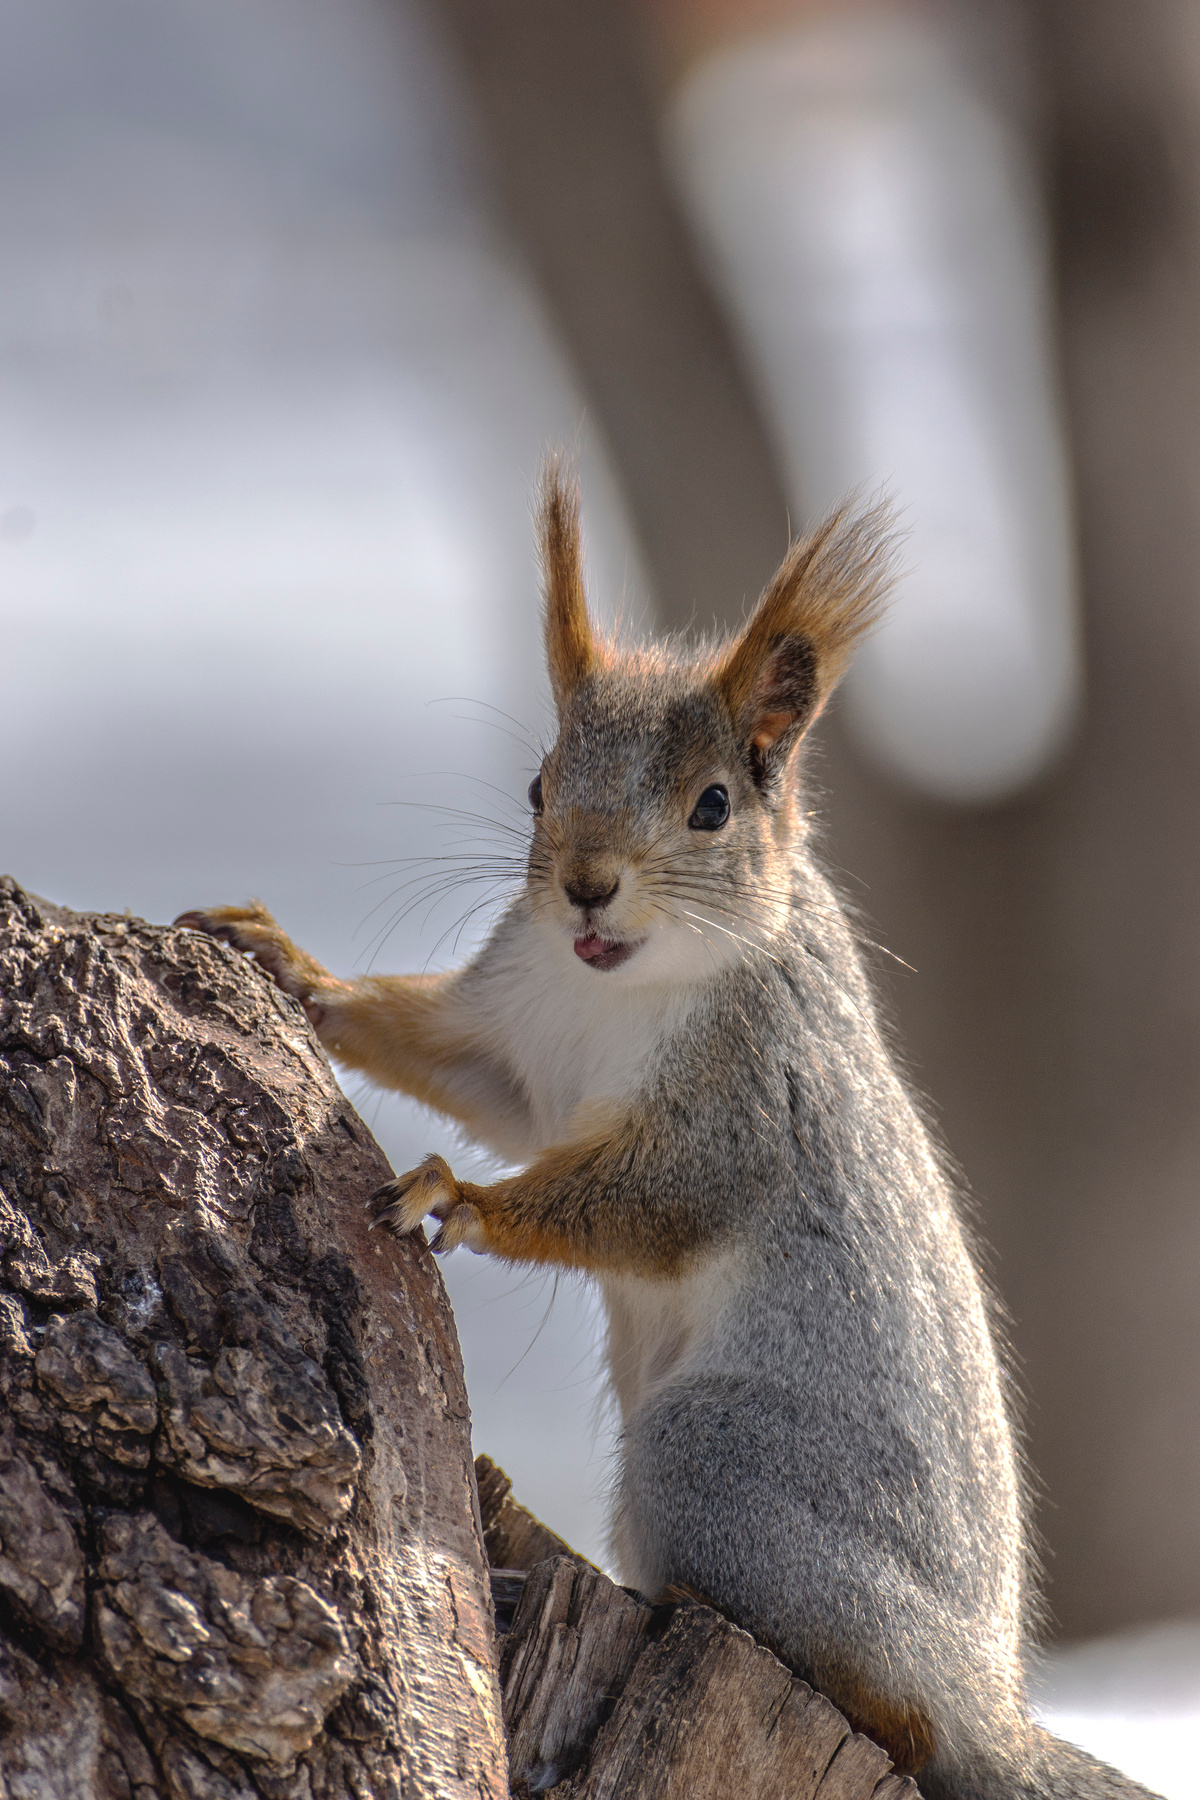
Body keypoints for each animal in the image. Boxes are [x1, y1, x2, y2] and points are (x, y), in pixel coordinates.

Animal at [178, 471, 1158, 1800]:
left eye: (713, 806)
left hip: (718, 1466)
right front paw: (296, 970)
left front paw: (458, 1197)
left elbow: (643, 1199)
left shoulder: (747, 1105)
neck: (614, 984)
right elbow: (461, 1070)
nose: (587, 884)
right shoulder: (519, 1043)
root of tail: (990, 1700)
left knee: (899, 1713)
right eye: (538, 786)